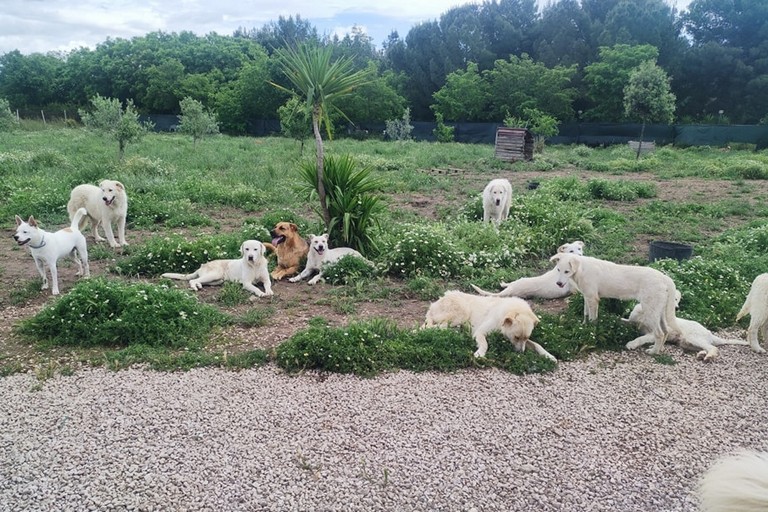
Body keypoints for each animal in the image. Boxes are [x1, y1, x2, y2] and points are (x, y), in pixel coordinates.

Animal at [424, 288, 556, 360]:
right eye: (516, 337)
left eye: (526, 337)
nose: (521, 353)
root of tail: (435, 303)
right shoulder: (479, 332)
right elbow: (485, 344)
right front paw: (480, 354)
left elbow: (537, 344)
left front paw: (549, 356)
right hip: (461, 313)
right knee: (431, 327)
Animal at [548, 253, 680, 356]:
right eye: (558, 270)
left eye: (567, 271)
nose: (558, 283)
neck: (582, 269)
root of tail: (664, 277)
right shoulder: (587, 297)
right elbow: (586, 314)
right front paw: (583, 327)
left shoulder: (593, 299)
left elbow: (592, 320)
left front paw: (590, 334)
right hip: (659, 312)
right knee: (666, 331)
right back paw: (659, 349)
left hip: (650, 312)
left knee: (659, 333)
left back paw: (653, 352)